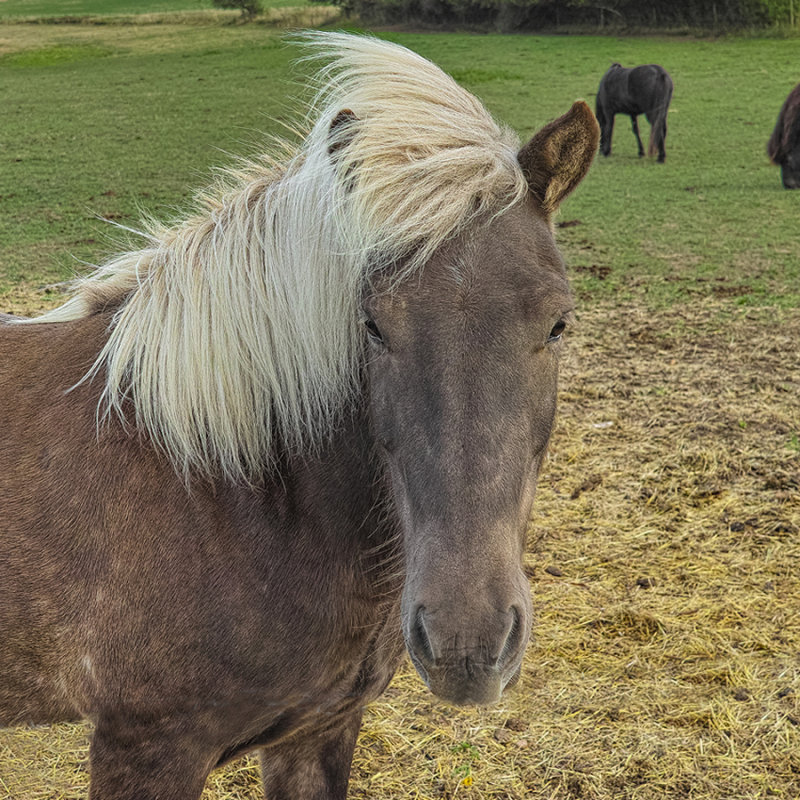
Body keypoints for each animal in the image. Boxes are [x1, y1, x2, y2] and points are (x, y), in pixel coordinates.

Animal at [0, 32, 596, 800]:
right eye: (372, 325)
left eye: (558, 323)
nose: (468, 643)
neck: (225, 489)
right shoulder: (146, 747)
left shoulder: (318, 732)